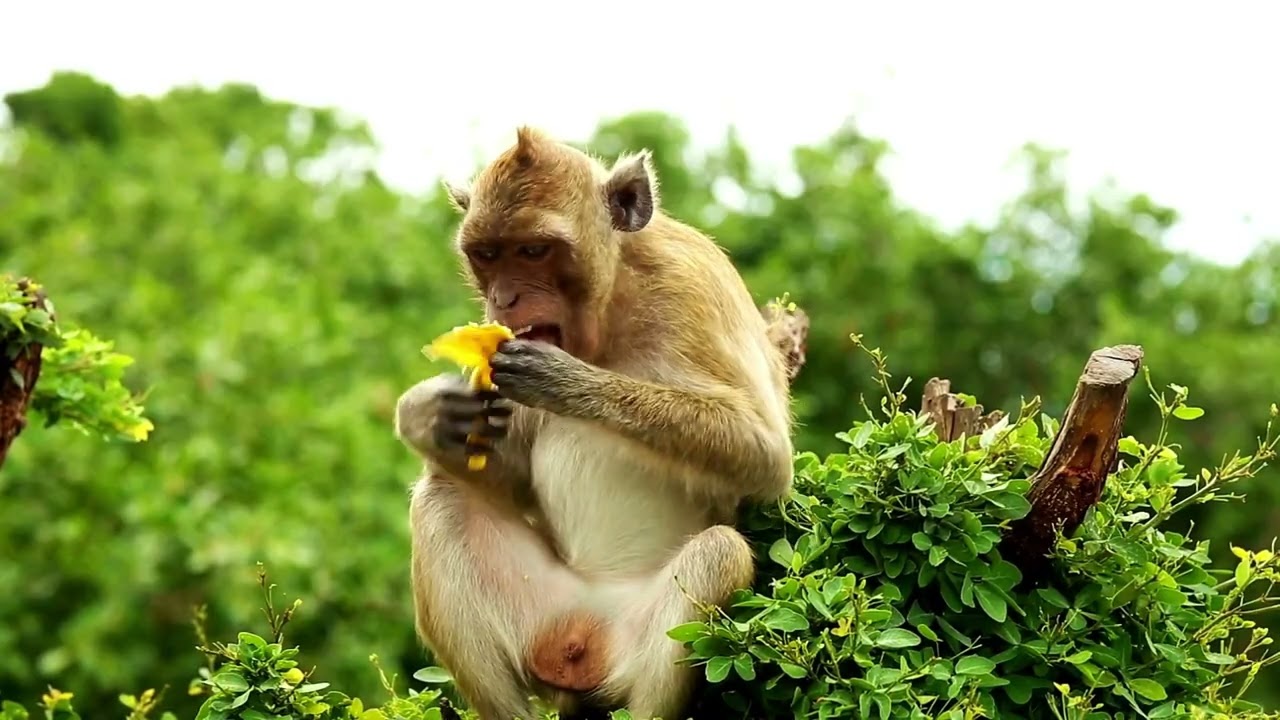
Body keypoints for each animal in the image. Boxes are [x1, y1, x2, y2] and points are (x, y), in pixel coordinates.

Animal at [394, 126, 800, 720]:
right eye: (487, 255)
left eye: (534, 250)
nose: (504, 298)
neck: (611, 308)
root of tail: (584, 631)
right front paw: (428, 414)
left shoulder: (693, 286)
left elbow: (765, 455)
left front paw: (561, 380)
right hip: (541, 612)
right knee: (440, 499)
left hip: (632, 638)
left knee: (717, 554)